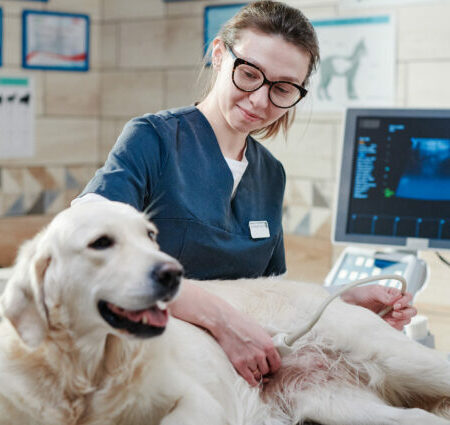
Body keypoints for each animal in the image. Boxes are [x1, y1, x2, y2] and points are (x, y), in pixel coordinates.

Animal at [0, 200, 450, 424]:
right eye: (100, 242)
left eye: (150, 235)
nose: (173, 272)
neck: (85, 373)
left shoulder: (195, 403)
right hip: (339, 404)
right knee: (419, 417)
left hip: (396, 356)